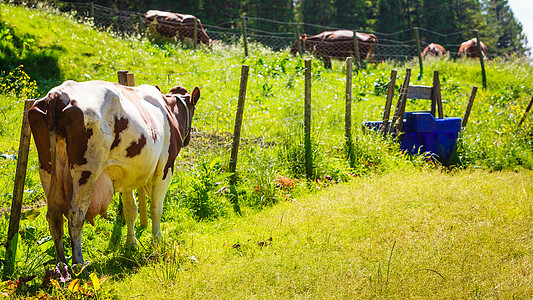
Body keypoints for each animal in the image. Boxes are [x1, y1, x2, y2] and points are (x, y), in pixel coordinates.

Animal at [28, 81, 201, 264]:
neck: (168, 110)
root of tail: (58, 94)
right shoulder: (165, 169)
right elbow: (156, 208)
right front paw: (157, 241)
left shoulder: (127, 175)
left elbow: (130, 209)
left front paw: (131, 244)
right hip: (86, 172)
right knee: (75, 214)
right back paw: (79, 262)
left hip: (47, 168)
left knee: (54, 216)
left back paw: (61, 262)